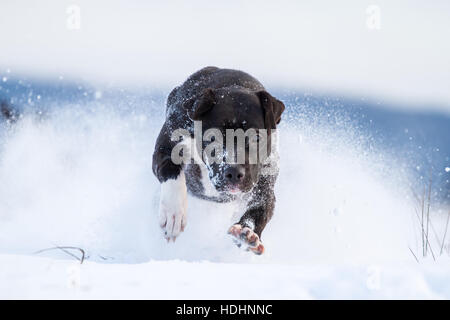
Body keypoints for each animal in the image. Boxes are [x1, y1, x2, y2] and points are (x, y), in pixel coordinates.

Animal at [151, 66, 284, 254]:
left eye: (257, 137)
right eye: (213, 137)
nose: (234, 173)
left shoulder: (264, 184)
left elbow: (261, 208)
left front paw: (247, 231)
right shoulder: (165, 149)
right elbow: (171, 173)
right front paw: (173, 213)